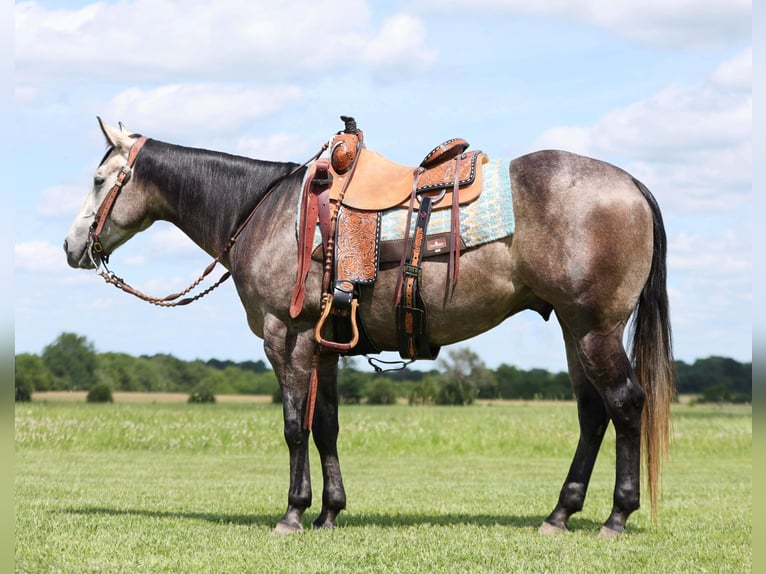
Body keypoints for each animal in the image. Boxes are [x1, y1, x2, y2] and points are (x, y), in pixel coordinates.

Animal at [67, 118, 680, 540]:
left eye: (98, 179)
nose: (73, 247)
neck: (267, 215)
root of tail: (629, 182)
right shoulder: (324, 347)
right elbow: (326, 427)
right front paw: (329, 512)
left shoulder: (285, 340)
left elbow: (294, 427)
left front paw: (293, 513)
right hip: (575, 333)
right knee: (593, 415)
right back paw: (559, 514)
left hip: (595, 330)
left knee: (625, 405)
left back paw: (616, 517)